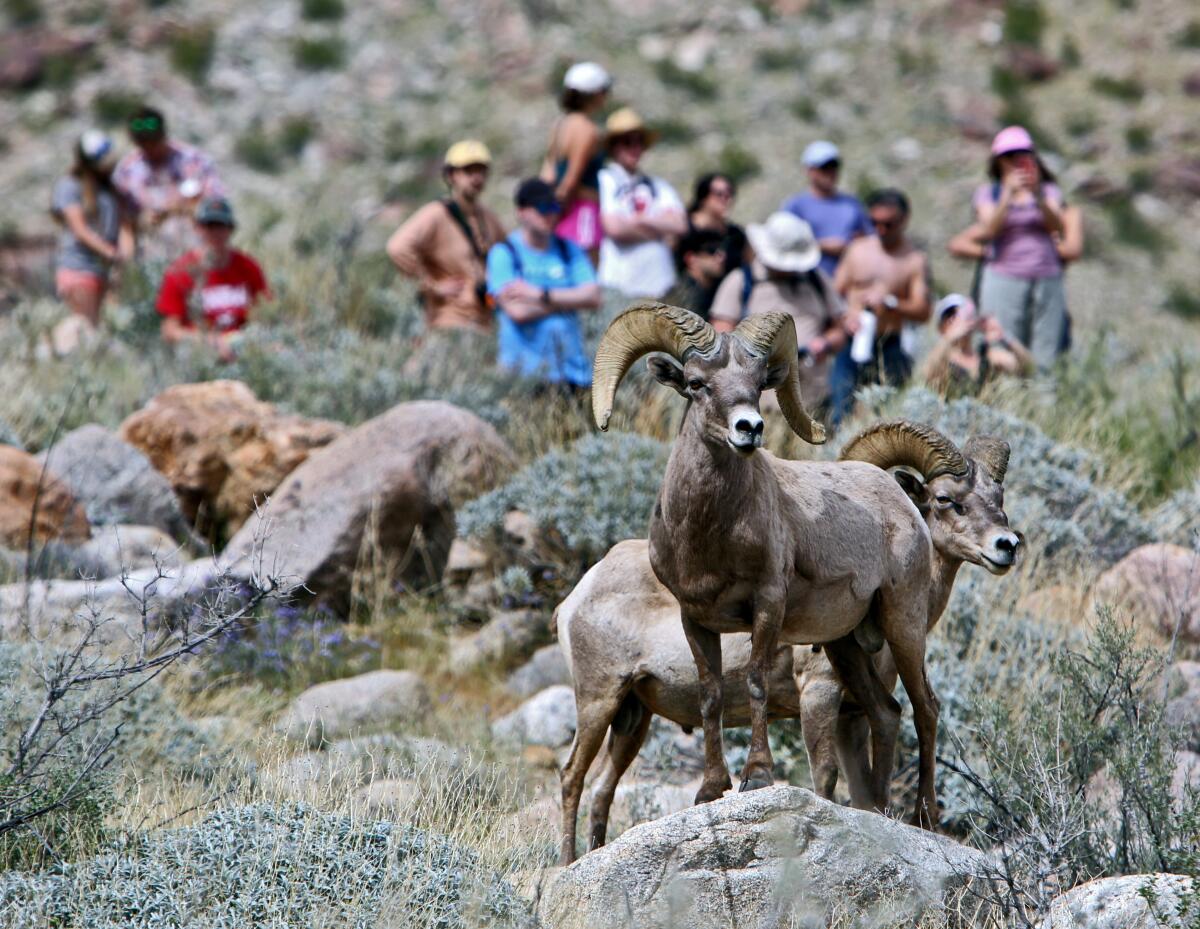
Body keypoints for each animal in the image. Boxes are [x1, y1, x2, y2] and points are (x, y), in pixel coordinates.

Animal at [556, 422, 1017, 864]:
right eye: (945, 499)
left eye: (998, 497)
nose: (1007, 545)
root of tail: (577, 595)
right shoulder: (818, 695)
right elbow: (825, 775)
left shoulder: (851, 717)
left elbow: (864, 783)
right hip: (599, 701)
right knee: (571, 777)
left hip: (633, 720)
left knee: (601, 791)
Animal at [590, 303, 964, 835]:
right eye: (697, 383)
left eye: (757, 383)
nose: (749, 428)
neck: (709, 537)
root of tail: (901, 501)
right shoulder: (694, 618)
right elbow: (710, 695)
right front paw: (710, 789)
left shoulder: (767, 606)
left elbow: (755, 683)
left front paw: (756, 777)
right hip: (845, 646)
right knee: (886, 712)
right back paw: (879, 811)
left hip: (902, 623)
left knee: (925, 708)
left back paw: (923, 817)